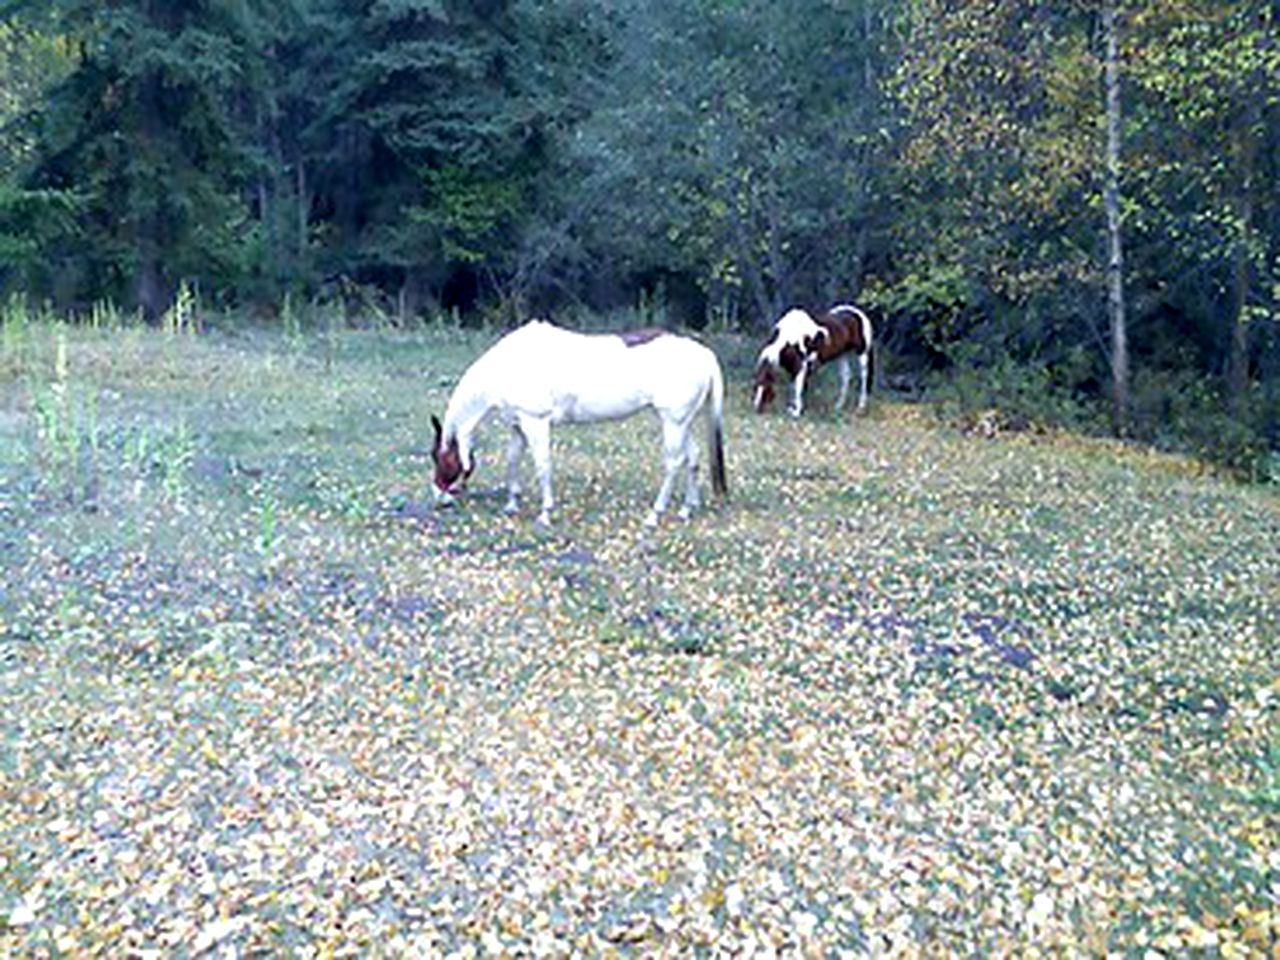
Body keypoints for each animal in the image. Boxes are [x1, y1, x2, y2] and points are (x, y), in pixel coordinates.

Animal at [432, 325, 727, 535]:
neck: (510, 366)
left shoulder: (536, 422)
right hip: (682, 422)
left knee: (674, 463)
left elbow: (542, 465)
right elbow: (513, 460)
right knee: (693, 458)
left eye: (439, 458)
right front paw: (512, 504)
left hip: (673, 422)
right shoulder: (519, 425)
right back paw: (686, 509)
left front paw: (545, 513)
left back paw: (655, 515)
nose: (438, 498)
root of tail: (705, 354)